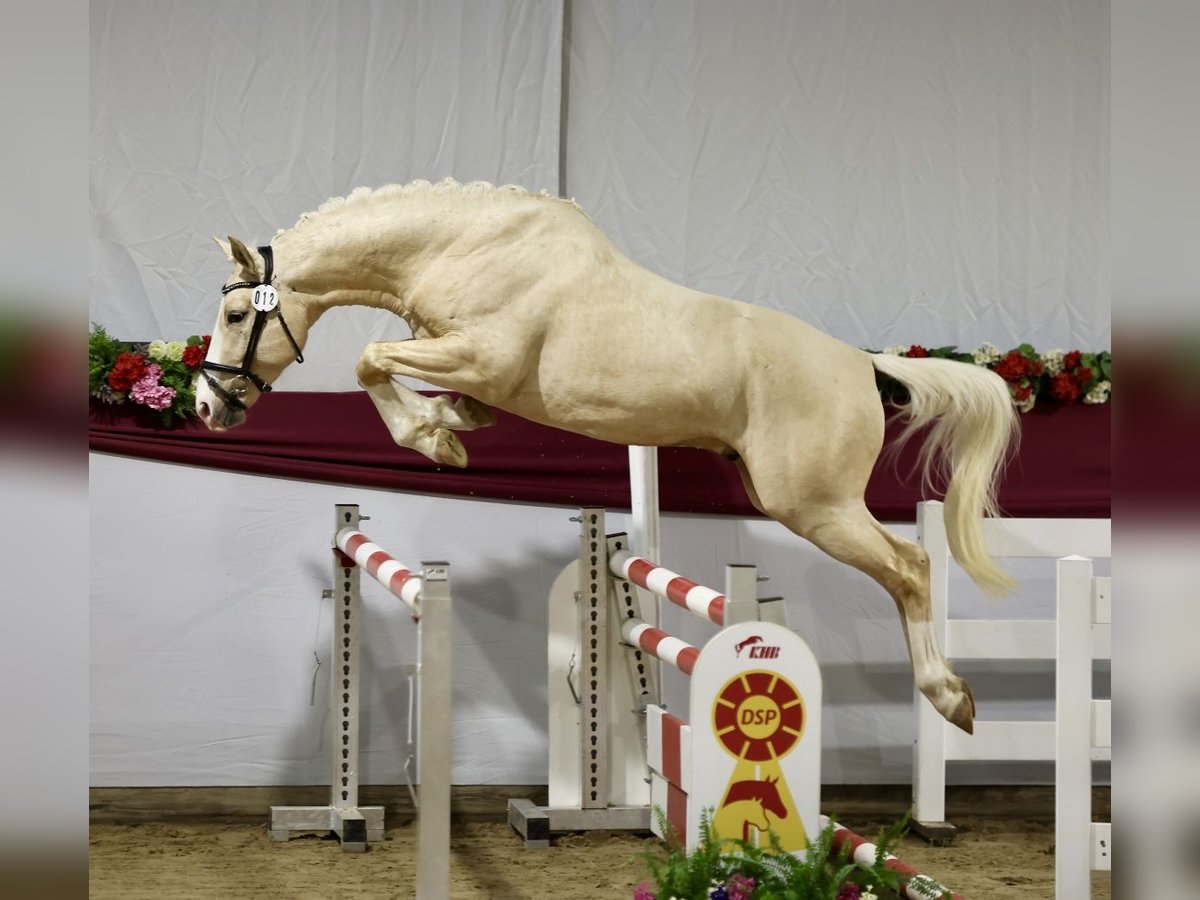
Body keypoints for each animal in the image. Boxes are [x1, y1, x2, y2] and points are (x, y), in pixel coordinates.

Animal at [194, 180, 1012, 734]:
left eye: (236, 313)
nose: (206, 407)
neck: (464, 247)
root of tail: (863, 365)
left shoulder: (480, 354)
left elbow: (369, 361)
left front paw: (434, 438)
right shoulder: (463, 360)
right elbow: (415, 380)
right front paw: (451, 423)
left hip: (814, 504)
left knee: (911, 567)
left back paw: (950, 696)